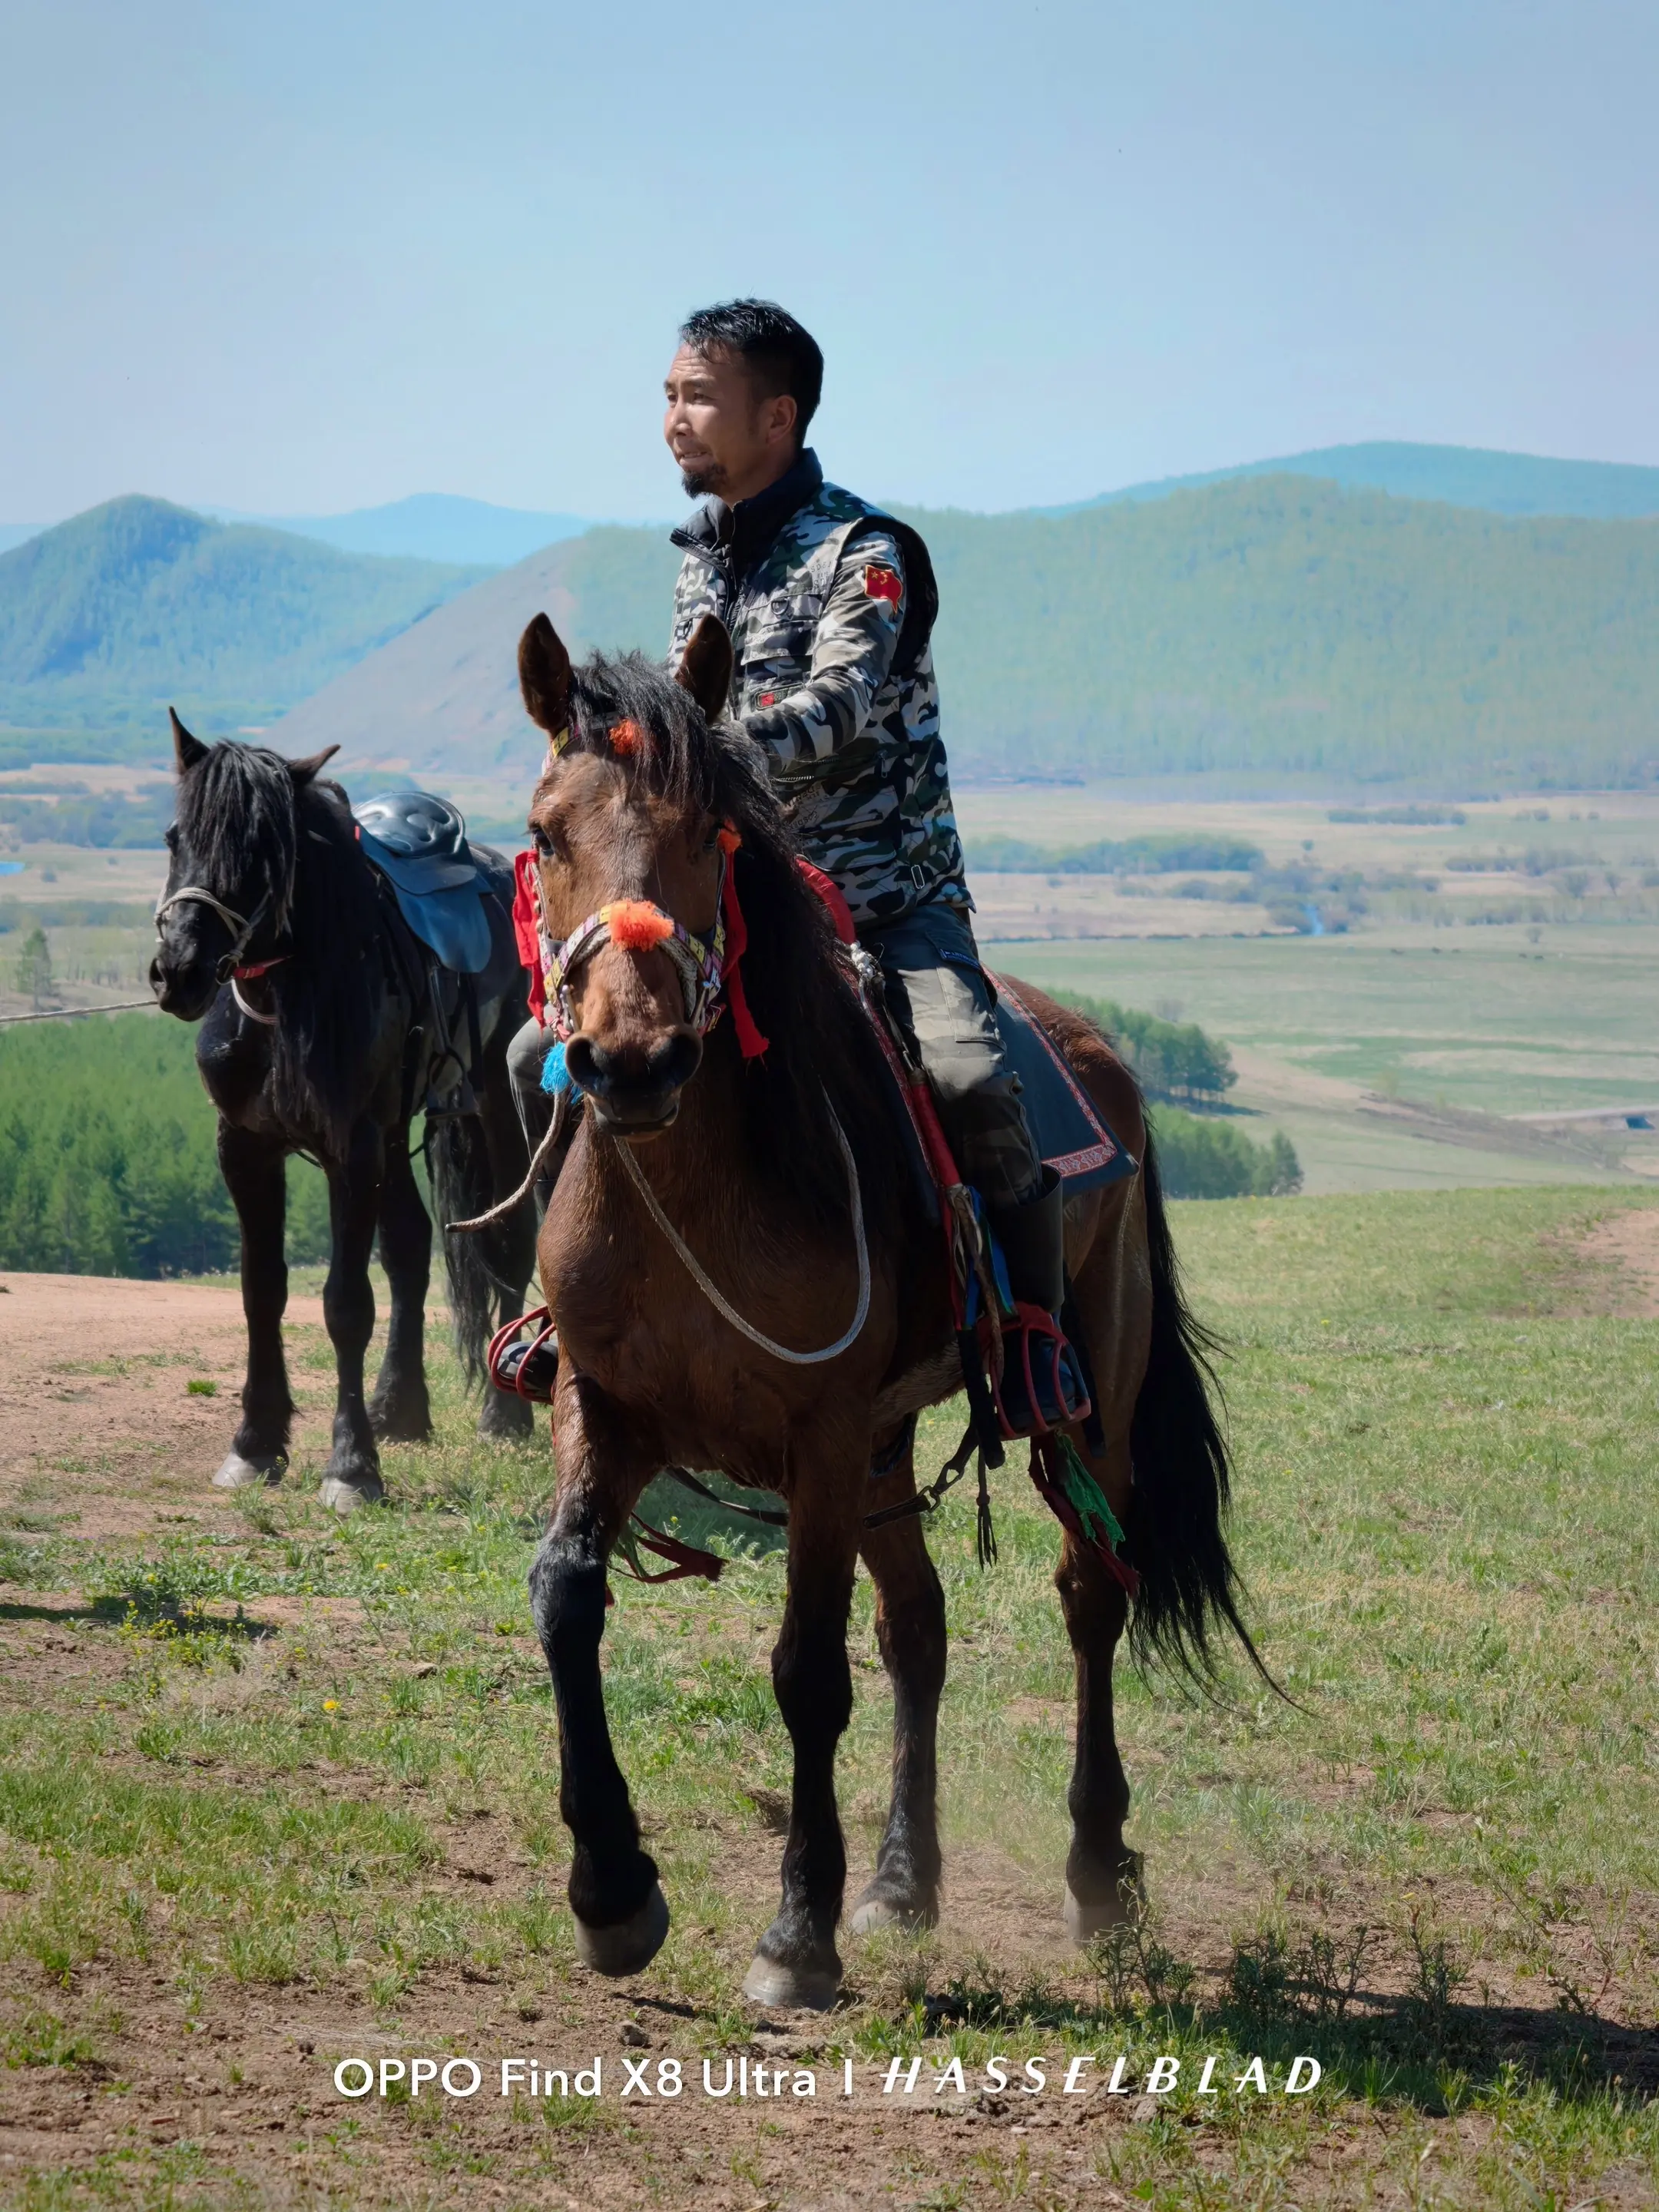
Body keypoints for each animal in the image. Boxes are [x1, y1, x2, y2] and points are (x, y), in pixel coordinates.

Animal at [150, 713, 539, 1513]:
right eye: (175, 836)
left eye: (263, 852)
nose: (178, 972)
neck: (286, 997)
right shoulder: (246, 1149)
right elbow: (261, 1291)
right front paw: (255, 1443)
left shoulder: (349, 1151)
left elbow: (345, 1303)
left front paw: (351, 1466)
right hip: (394, 1136)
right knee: (411, 1249)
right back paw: (401, 1408)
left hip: (489, 1108)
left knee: (508, 1242)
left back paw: (502, 1415)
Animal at [513, 609, 1263, 2009]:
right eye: (545, 832)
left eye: (712, 833)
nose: (632, 1061)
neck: (692, 1190)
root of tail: (1104, 1061)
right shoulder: (606, 1405)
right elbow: (566, 1598)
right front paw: (614, 1892)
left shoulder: (815, 1431)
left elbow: (807, 1672)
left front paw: (794, 1936)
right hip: (883, 1445)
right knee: (918, 1625)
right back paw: (906, 1884)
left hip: (1080, 1408)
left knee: (1090, 1596)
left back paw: (1095, 1871)